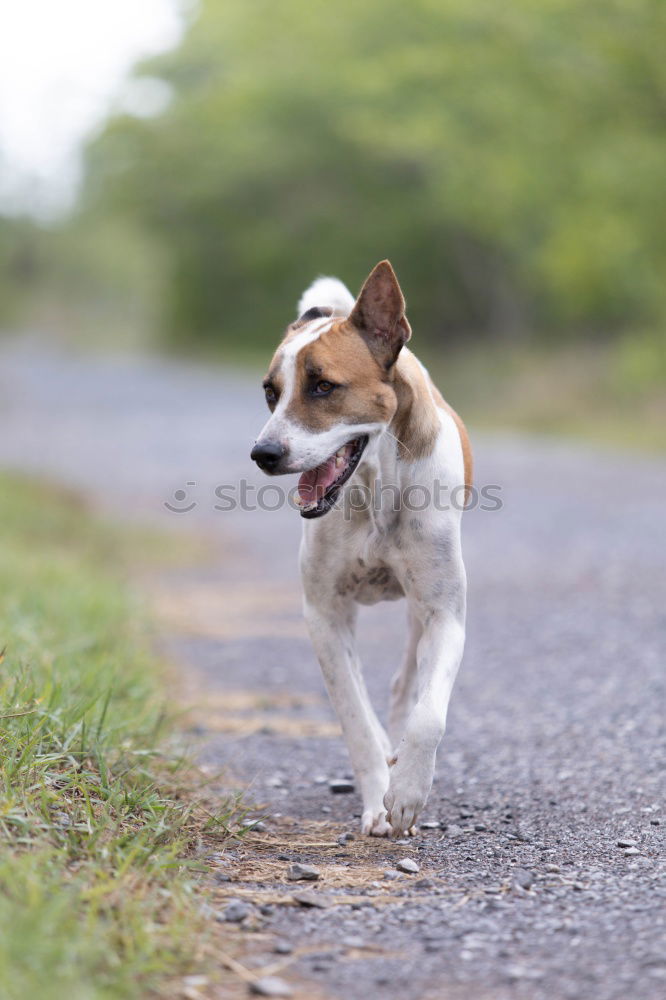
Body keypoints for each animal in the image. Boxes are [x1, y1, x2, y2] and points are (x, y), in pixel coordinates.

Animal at [250, 260, 472, 836]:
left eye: (324, 386)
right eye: (270, 392)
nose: (263, 453)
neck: (374, 491)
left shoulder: (445, 613)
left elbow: (429, 713)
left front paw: (409, 790)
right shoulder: (325, 614)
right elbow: (356, 720)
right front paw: (378, 800)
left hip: (418, 611)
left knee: (405, 683)